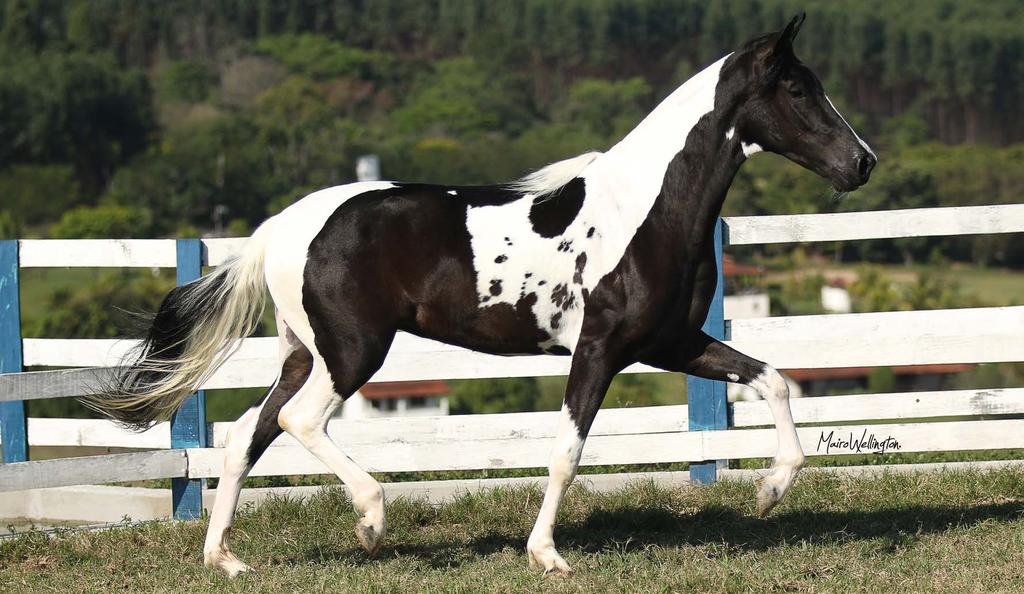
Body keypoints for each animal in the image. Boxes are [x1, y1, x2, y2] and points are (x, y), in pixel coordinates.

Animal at [90, 16, 872, 577]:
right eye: (798, 90)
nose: (861, 163)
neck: (642, 212)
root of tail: (281, 227)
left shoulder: (670, 342)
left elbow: (773, 381)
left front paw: (770, 492)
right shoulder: (600, 349)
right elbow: (566, 453)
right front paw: (546, 555)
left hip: (304, 353)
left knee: (247, 433)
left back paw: (225, 558)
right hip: (352, 352)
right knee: (296, 422)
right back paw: (370, 521)